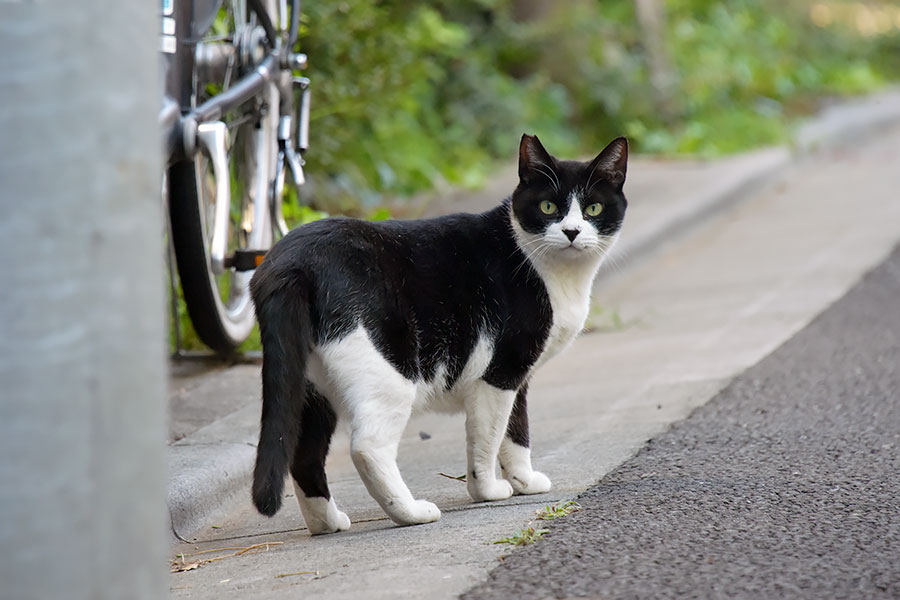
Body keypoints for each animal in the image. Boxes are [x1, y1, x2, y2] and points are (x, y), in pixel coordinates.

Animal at [246, 135, 624, 536]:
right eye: (548, 206)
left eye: (593, 208)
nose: (572, 232)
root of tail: (291, 262)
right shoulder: (502, 369)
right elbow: (490, 436)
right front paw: (488, 490)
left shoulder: (517, 375)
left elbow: (515, 429)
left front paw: (523, 480)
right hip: (388, 368)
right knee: (368, 446)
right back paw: (411, 512)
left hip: (310, 384)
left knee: (303, 452)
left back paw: (327, 523)